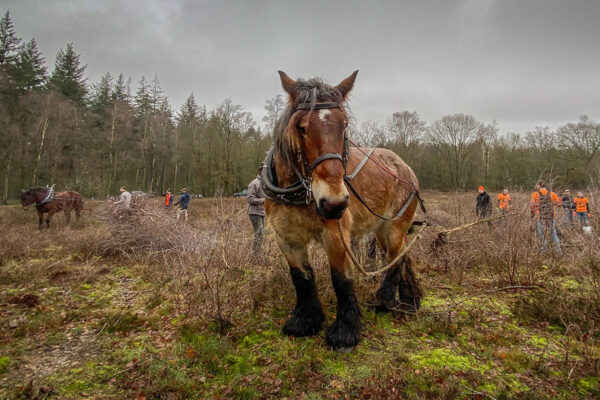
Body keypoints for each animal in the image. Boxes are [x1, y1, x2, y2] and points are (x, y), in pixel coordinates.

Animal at [262, 72, 422, 350]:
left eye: (344, 125)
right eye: (301, 127)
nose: (334, 203)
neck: (300, 194)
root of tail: (405, 167)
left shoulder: (336, 236)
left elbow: (341, 279)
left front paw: (345, 331)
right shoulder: (287, 239)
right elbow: (301, 278)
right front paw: (305, 321)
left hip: (394, 226)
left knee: (395, 258)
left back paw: (385, 300)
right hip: (380, 230)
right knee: (402, 255)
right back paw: (409, 301)